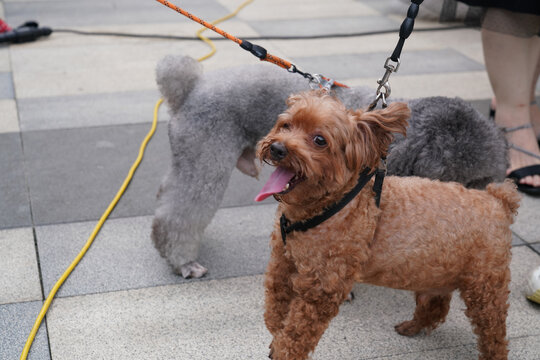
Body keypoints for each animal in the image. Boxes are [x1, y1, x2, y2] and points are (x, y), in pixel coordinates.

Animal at [151, 54, 506, 278]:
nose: (476, 225)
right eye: (449, 182)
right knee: (181, 212)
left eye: (483, 181)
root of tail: (189, 89)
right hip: (205, 157)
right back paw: (182, 260)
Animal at [255, 91, 520, 360]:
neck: (334, 203)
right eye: (286, 125)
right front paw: (275, 335)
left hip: (485, 288)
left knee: (494, 336)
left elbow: (296, 334)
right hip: (436, 272)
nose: (277, 148)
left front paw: (282, 349)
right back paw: (412, 327)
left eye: (320, 140)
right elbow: (275, 308)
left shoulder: (321, 287)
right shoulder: (282, 262)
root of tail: (498, 199)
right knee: (437, 306)